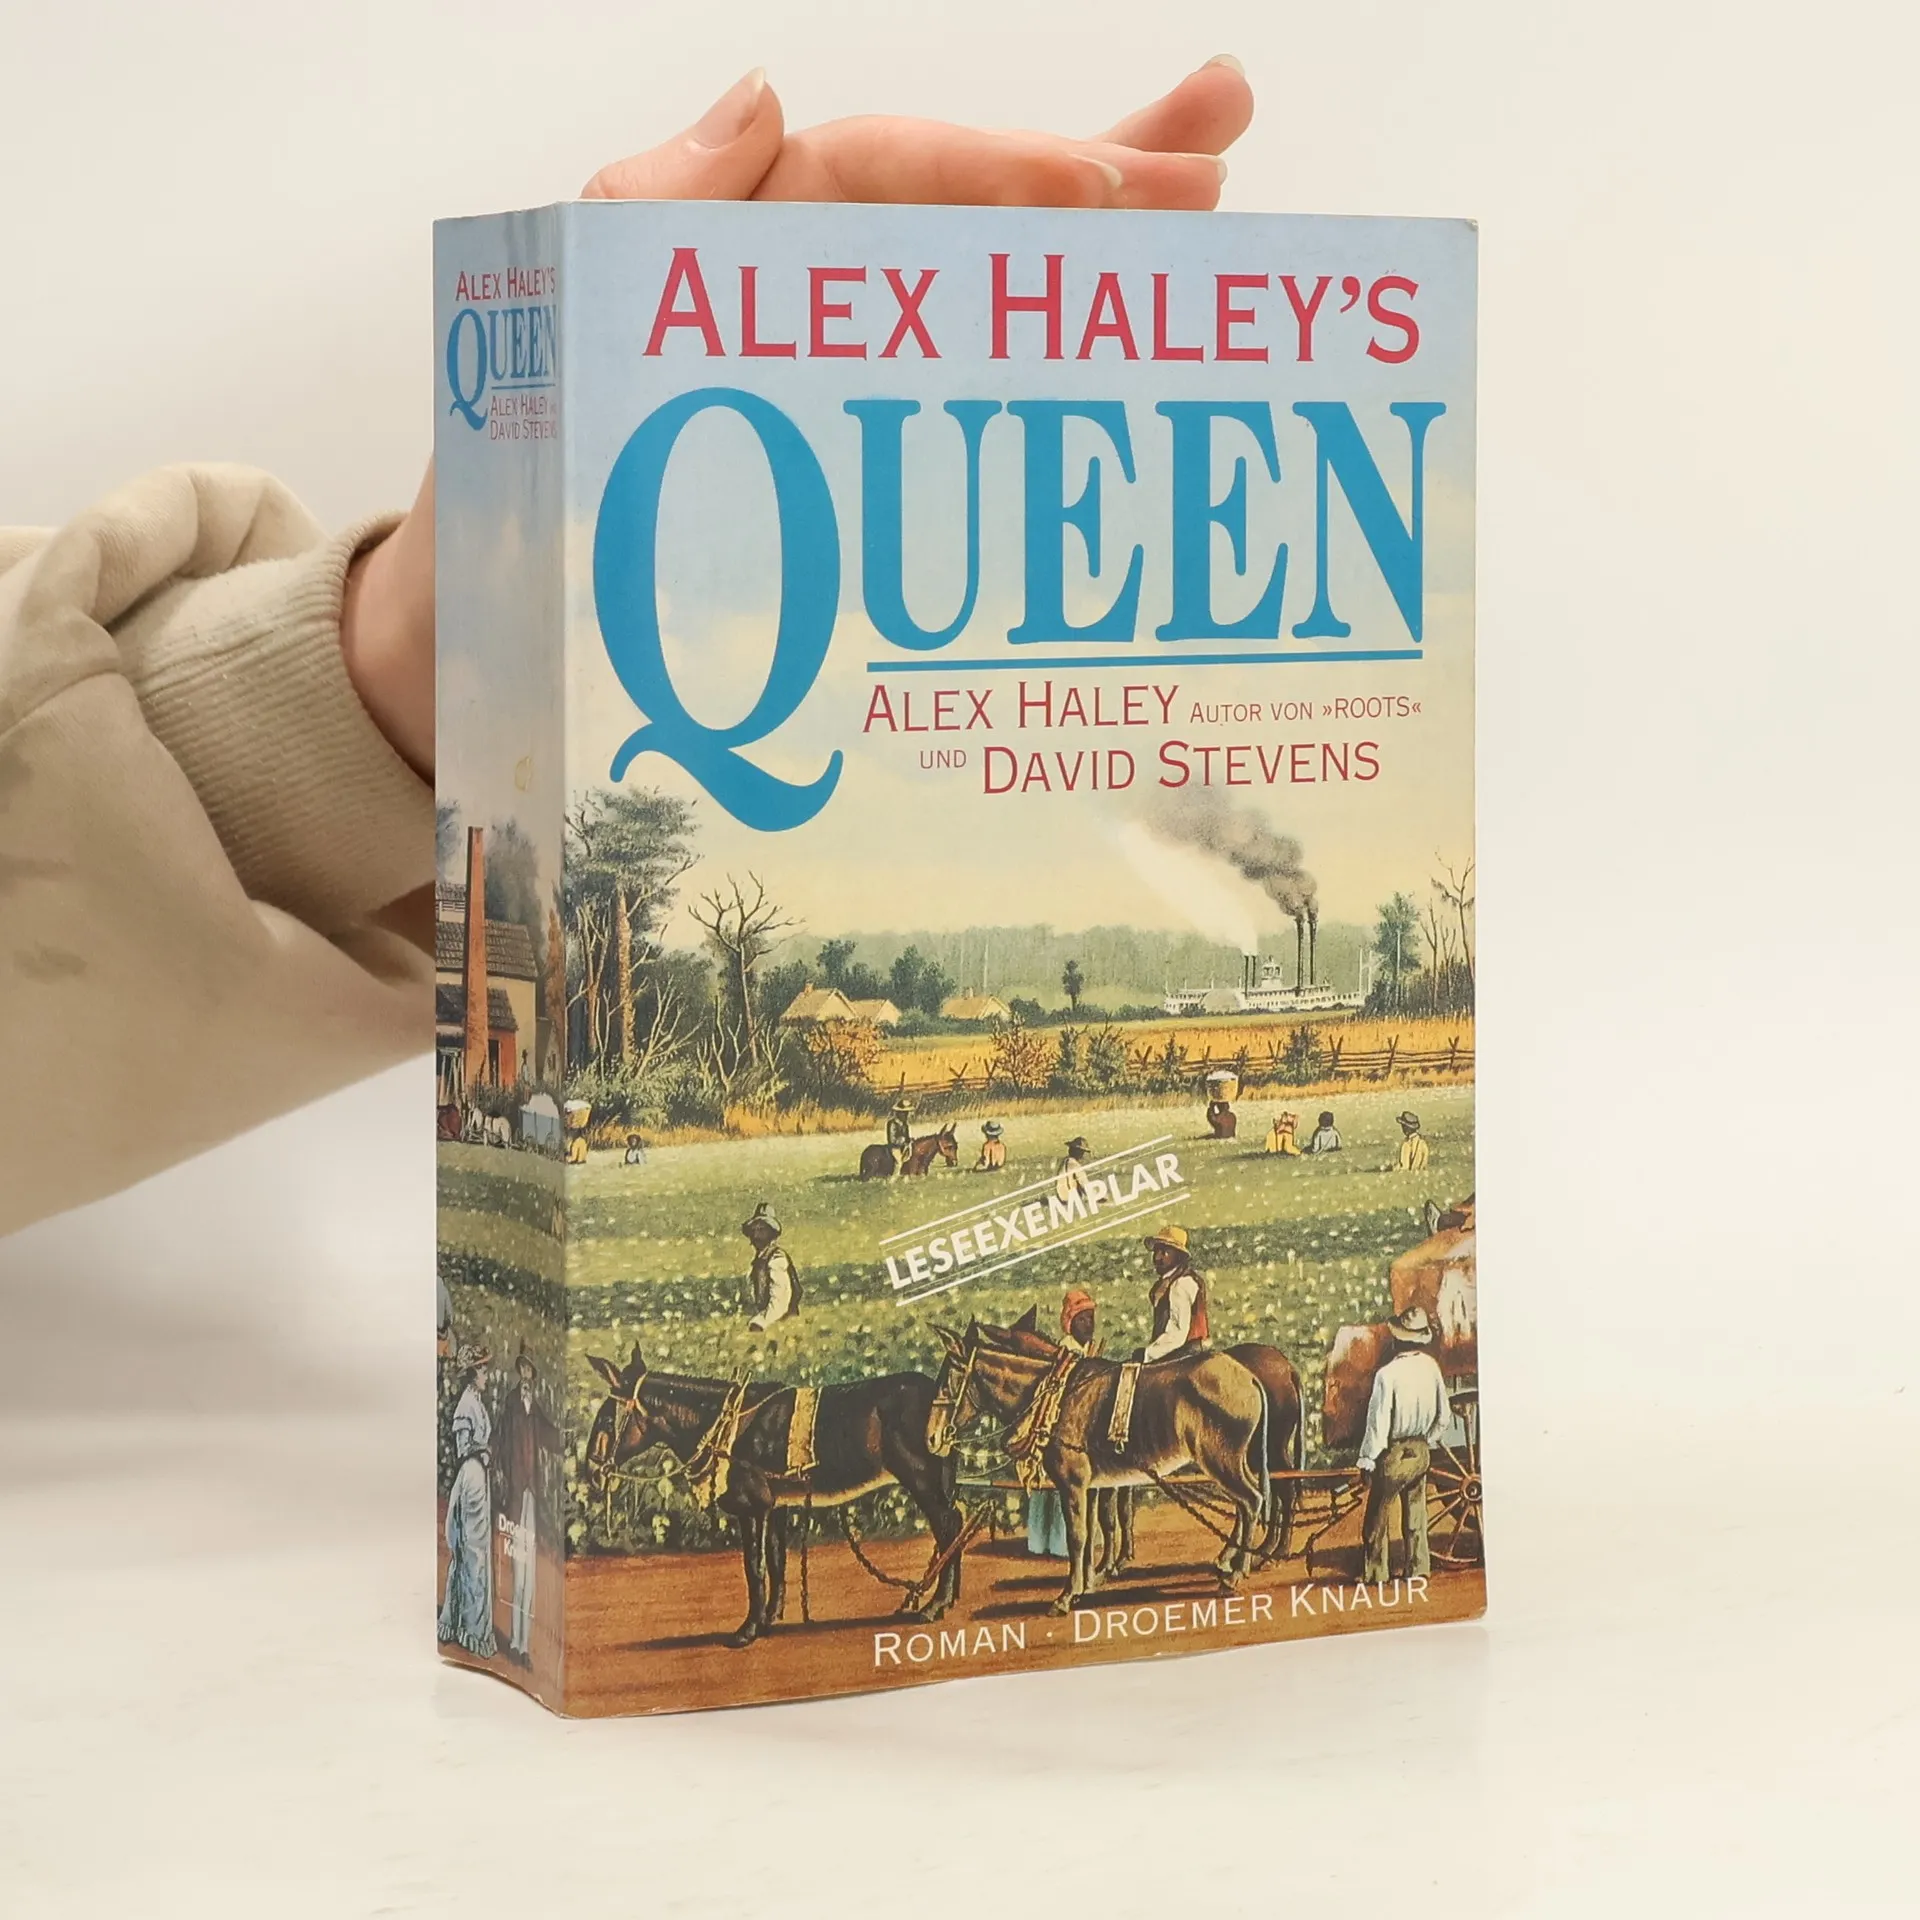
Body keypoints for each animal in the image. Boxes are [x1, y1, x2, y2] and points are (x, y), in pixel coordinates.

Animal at [583, 1347, 964, 1648]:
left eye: (606, 1420)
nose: (590, 1472)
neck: (724, 1425)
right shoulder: (775, 1507)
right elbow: (777, 1561)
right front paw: (769, 1620)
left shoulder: (752, 1509)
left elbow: (755, 1567)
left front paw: (748, 1630)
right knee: (955, 1526)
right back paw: (948, 1601)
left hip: (922, 1480)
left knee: (948, 1529)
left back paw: (934, 1606)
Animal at [927, 1318, 1270, 1615]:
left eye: (947, 1382)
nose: (931, 1438)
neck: (1054, 1392)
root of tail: (1249, 1376)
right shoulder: (1092, 1486)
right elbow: (1094, 1531)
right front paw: (1089, 1583)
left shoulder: (1073, 1484)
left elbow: (1078, 1536)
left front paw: (1067, 1596)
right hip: (1232, 1462)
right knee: (1248, 1502)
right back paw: (1228, 1561)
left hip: (1219, 1461)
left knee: (1251, 1501)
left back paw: (1235, 1574)